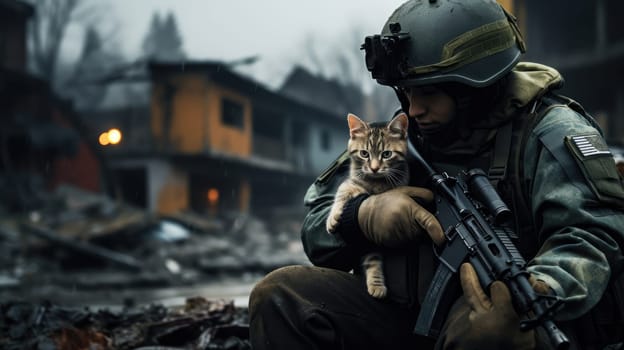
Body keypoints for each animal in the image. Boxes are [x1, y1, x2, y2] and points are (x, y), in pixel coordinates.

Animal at [326, 112, 410, 298]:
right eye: (364, 153)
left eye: (387, 154)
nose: (374, 168)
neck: (375, 184)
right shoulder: (353, 182)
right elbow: (342, 190)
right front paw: (332, 218)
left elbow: (373, 257)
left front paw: (377, 284)